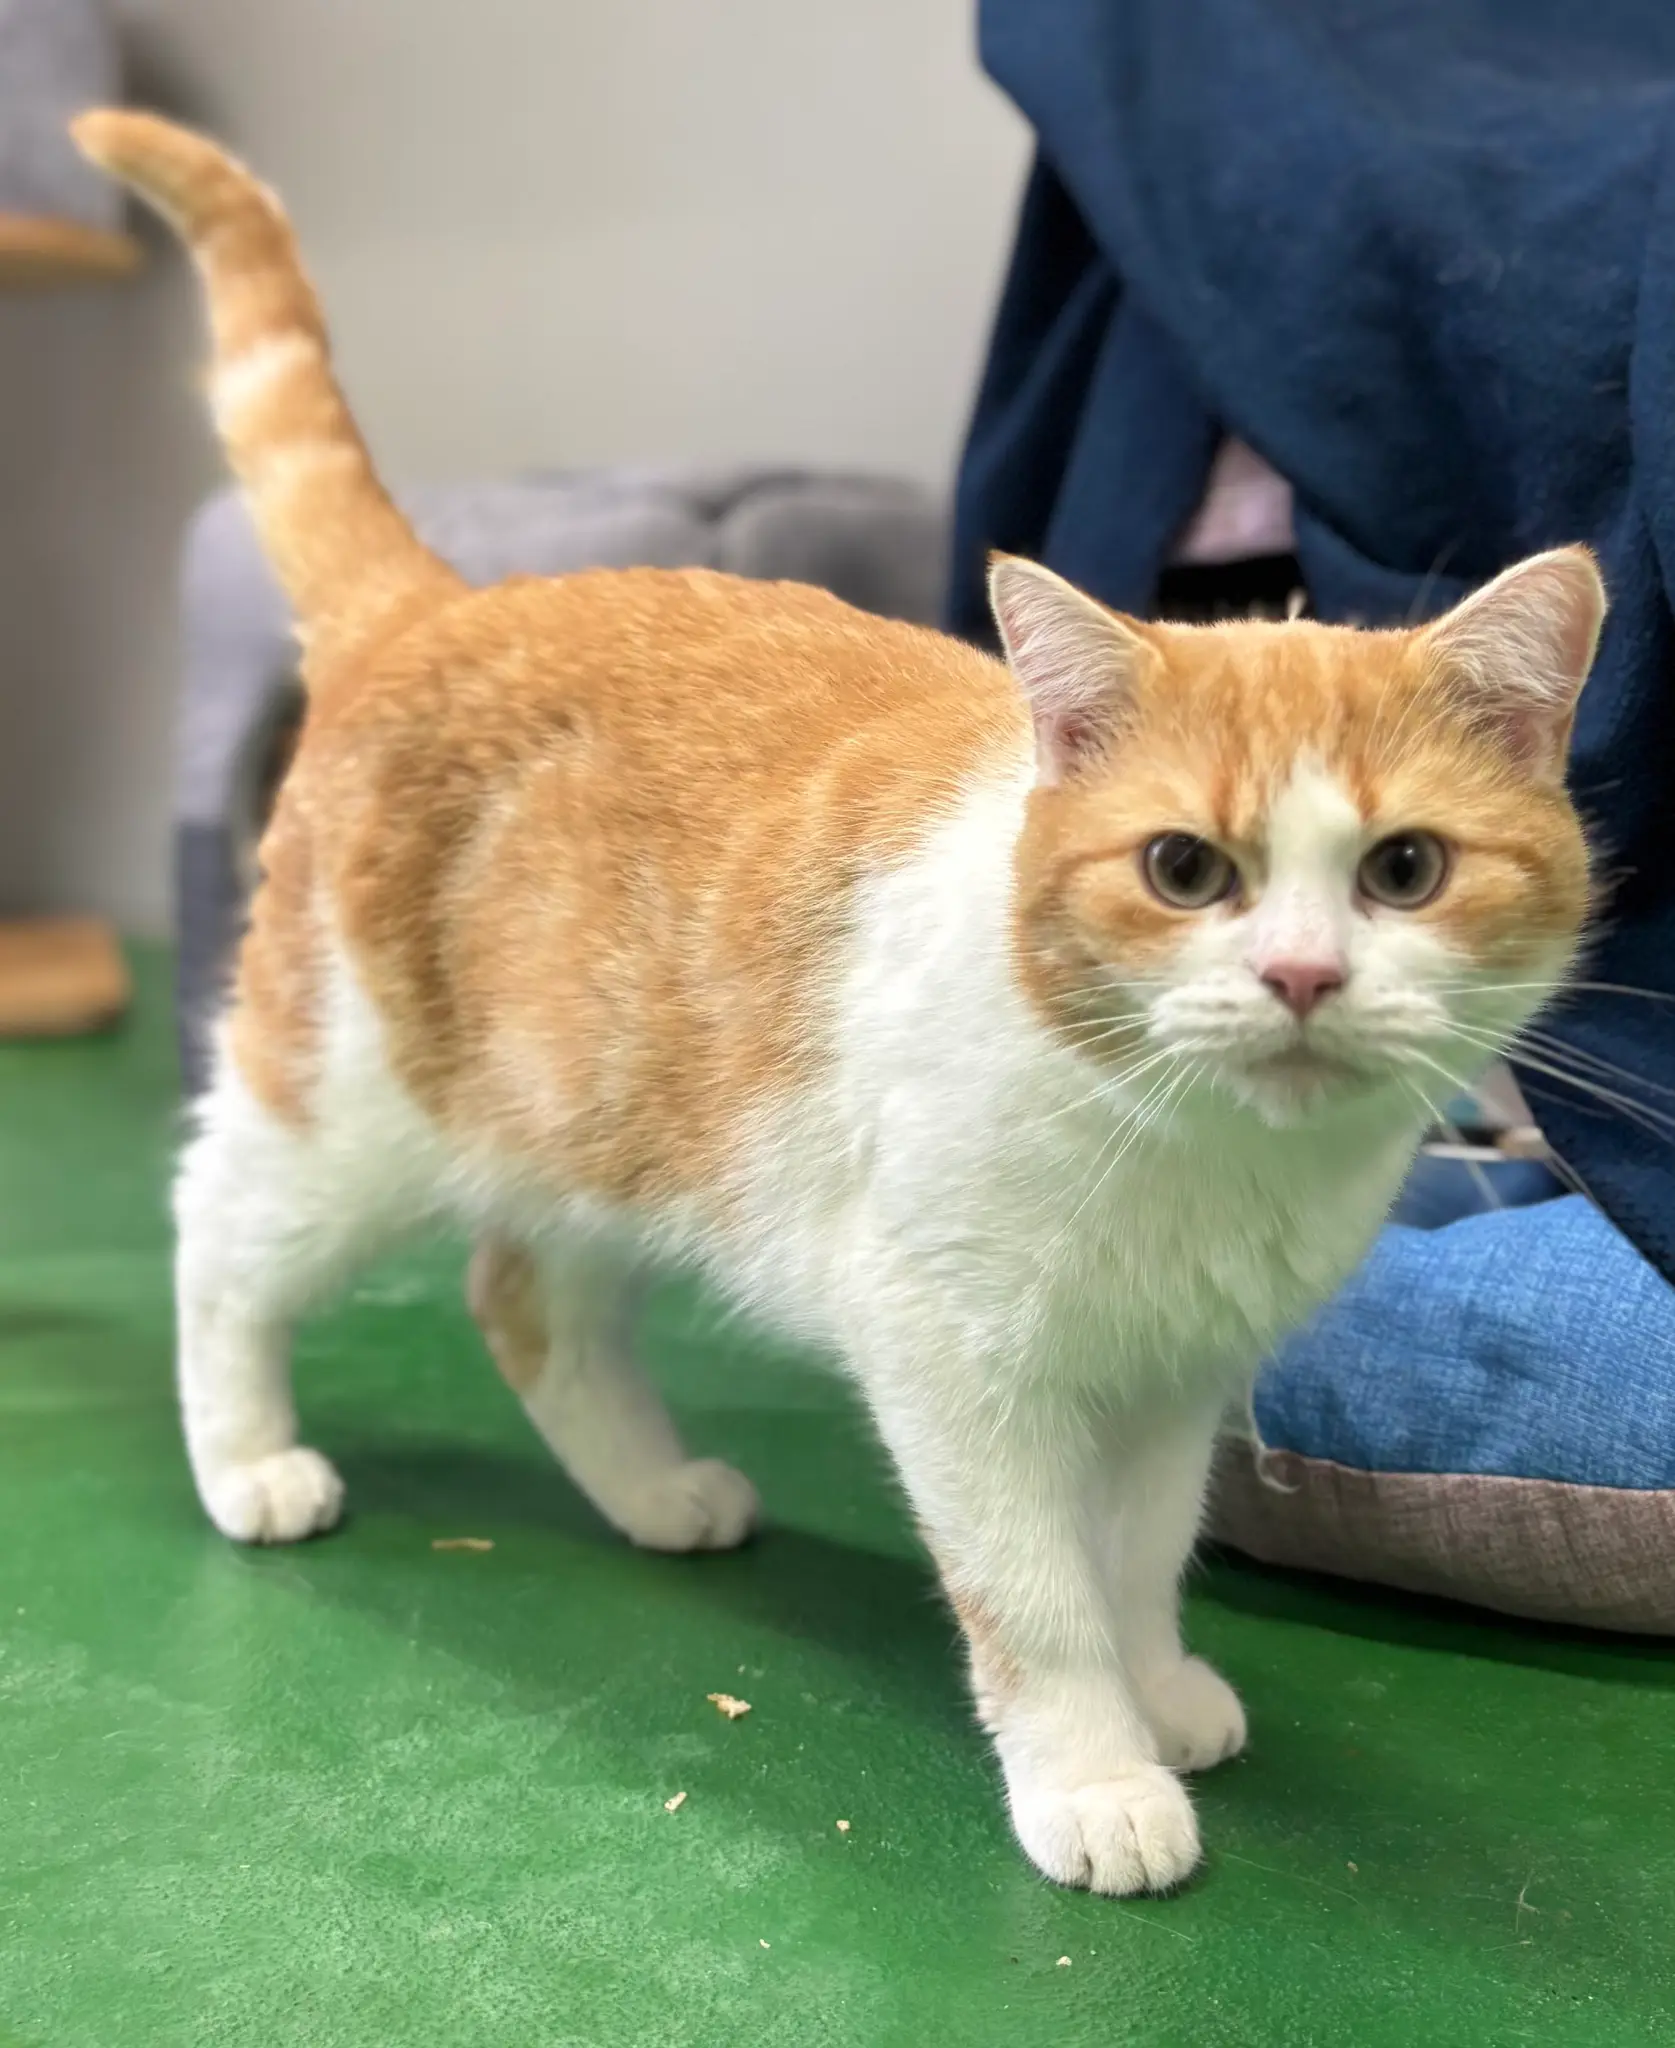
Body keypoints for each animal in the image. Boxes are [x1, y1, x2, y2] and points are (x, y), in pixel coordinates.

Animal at [74, 110, 1601, 1897]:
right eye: (1181, 870)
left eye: (1404, 870)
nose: (1299, 978)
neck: (1197, 1159)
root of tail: (449, 599)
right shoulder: (958, 1362)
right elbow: (1038, 1598)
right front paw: (1095, 1770)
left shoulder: (1168, 1381)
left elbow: (1139, 1557)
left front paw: (1157, 1690)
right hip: (353, 1116)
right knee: (219, 1236)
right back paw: (247, 1458)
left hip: (608, 1128)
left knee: (527, 1297)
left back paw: (651, 1490)